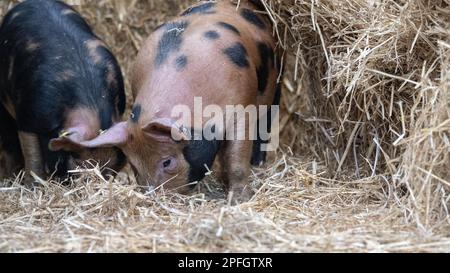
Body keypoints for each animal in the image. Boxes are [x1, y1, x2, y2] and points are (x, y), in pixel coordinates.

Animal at [63, 0, 282, 202]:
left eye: (167, 162)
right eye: (134, 164)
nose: (153, 197)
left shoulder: (242, 106)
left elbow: (236, 159)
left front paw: (239, 200)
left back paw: (257, 162)